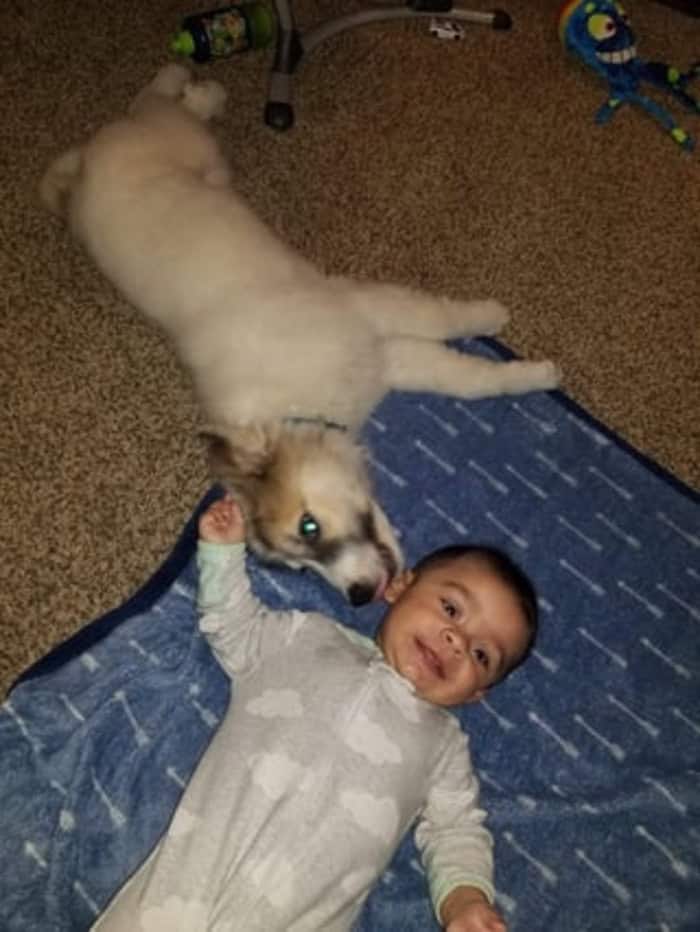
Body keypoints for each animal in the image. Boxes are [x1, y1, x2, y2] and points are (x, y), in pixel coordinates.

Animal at [40, 65, 561, 604]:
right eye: (299, 566)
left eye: (309, 527)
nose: (358, 596)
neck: (296, 409)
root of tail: (83, 171)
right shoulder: (381, 354)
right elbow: (461, 373)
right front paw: (526, 367)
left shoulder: (365, 311)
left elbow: (448, 330)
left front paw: (506, 333)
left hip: (185, 145)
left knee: (156, 101)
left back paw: (196, 85)